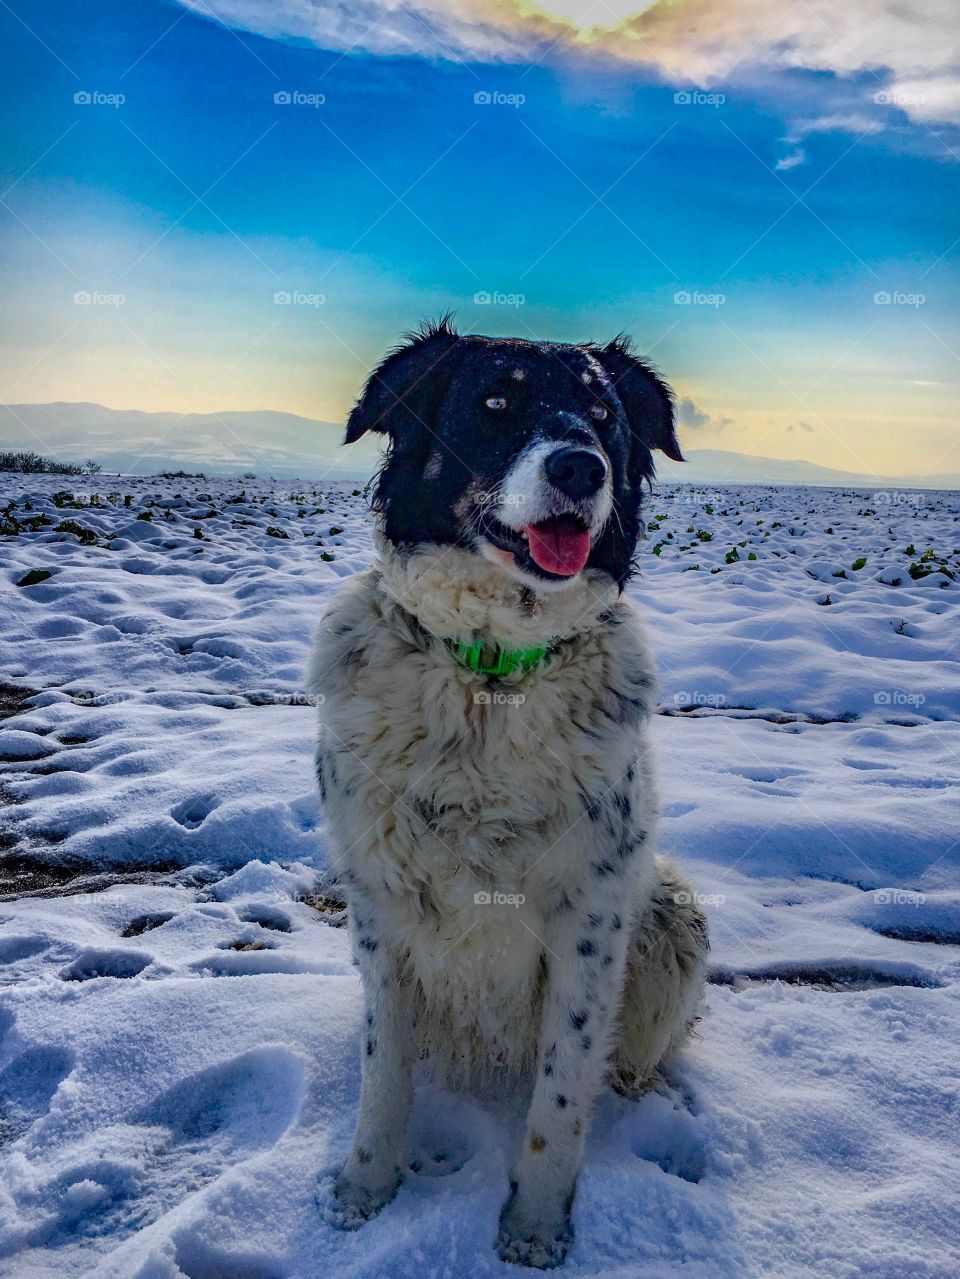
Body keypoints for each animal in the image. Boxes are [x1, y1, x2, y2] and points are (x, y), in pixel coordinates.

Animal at [311, 319, 710, 1268]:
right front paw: (363, 1190)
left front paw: (534, 1227)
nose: (581, 467)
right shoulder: (379, 906)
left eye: (604, 415)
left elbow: (559, 1098)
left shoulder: (590, 919)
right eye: (494, 401)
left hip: (671, 911)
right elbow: (384, 1075)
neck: (491, 672)